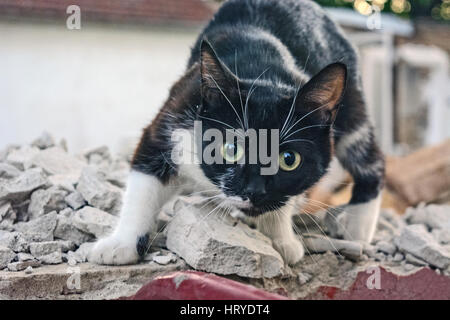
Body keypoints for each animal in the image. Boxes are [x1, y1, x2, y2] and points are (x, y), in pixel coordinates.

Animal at [88, 0, 384, 264]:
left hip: (352, 106)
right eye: (231, 149)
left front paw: (280, 238)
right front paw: (121, 244)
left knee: (371, 158)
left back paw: (357, 227)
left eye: (289, 159)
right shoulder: (174, 116)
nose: (254, 191)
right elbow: (144, 180)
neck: (264, 72)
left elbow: (285, 199)